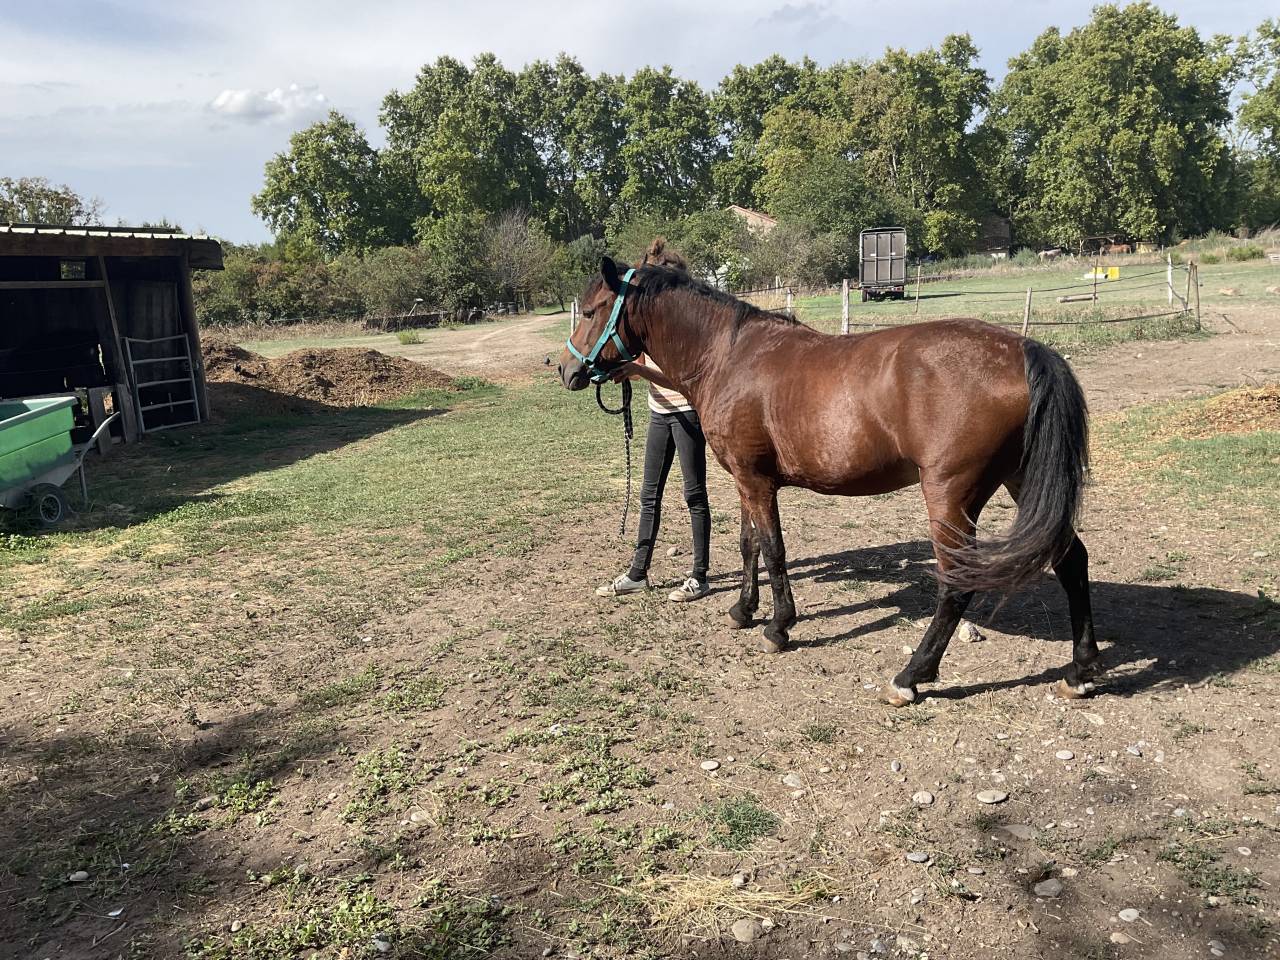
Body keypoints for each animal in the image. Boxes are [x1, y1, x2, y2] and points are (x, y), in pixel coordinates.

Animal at [559, 257, 1098, 707]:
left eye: (591, 311)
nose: (565, 369)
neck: (727, 356)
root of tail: (1023, 348)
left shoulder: (757, 483)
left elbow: (773, 550)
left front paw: (778, 627)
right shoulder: (745, 480)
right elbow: (748, 545)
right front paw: (743, 610)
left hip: (951, 497)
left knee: (955, 585)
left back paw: (910, 677)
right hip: (1020, 481)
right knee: (1072, 560)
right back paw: (1080, 671)